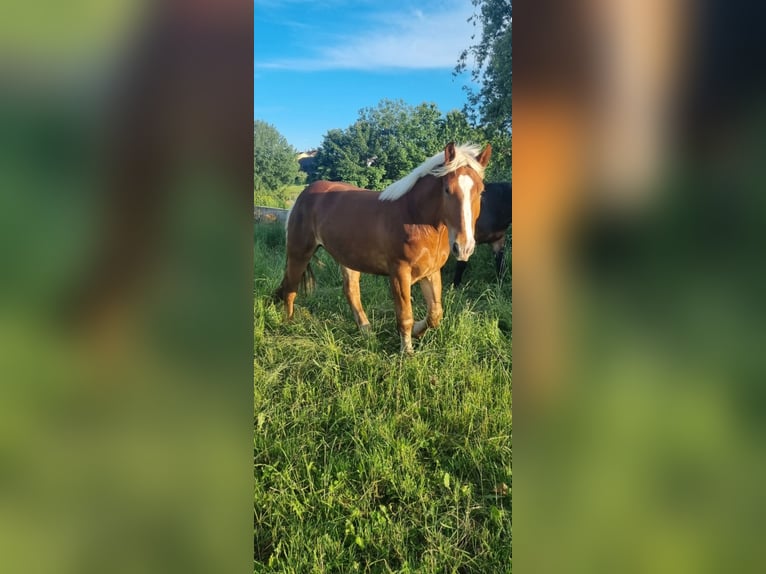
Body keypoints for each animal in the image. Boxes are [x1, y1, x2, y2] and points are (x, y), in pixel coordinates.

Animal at [274, 143, 492, 356]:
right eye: (447, 189)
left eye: (481, 191)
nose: (463, 247)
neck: (414, 218)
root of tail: (304, 194)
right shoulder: (399, 273)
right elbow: (405, 315)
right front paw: (407, 353)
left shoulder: (431, 272)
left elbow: (435, 314)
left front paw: (417, 332)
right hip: (299, 252)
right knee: (291, 287)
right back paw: (289, 324)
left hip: (348, 258)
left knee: (351, 291)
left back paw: (366, 330)